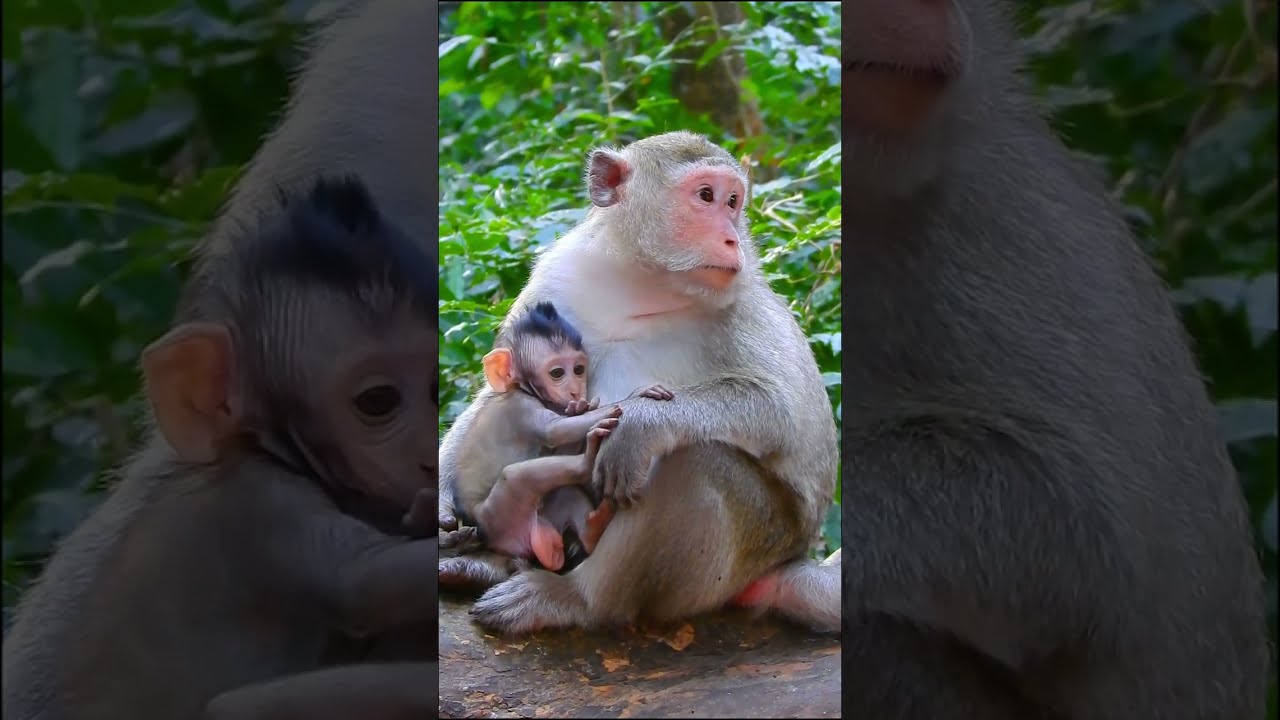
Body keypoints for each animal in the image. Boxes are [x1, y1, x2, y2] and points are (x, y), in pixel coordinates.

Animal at [1, 176, 440, 720]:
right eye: (378, 400)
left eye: (437, 387)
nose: (430, 458)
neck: (261, 449)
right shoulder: (263, 507)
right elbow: (364, 579)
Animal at [434, 130, 842, 637]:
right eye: (705, 196)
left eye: (733, 202)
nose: (732, 239)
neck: (644, 283)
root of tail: (784, 565)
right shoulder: (559, 274)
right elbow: (500, 390)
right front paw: (440, 503)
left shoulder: (744, 300)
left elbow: (782, 411)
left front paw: (641, 422)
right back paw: (486, 564)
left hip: (753, 545)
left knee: (694, 463)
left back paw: (573, 598)